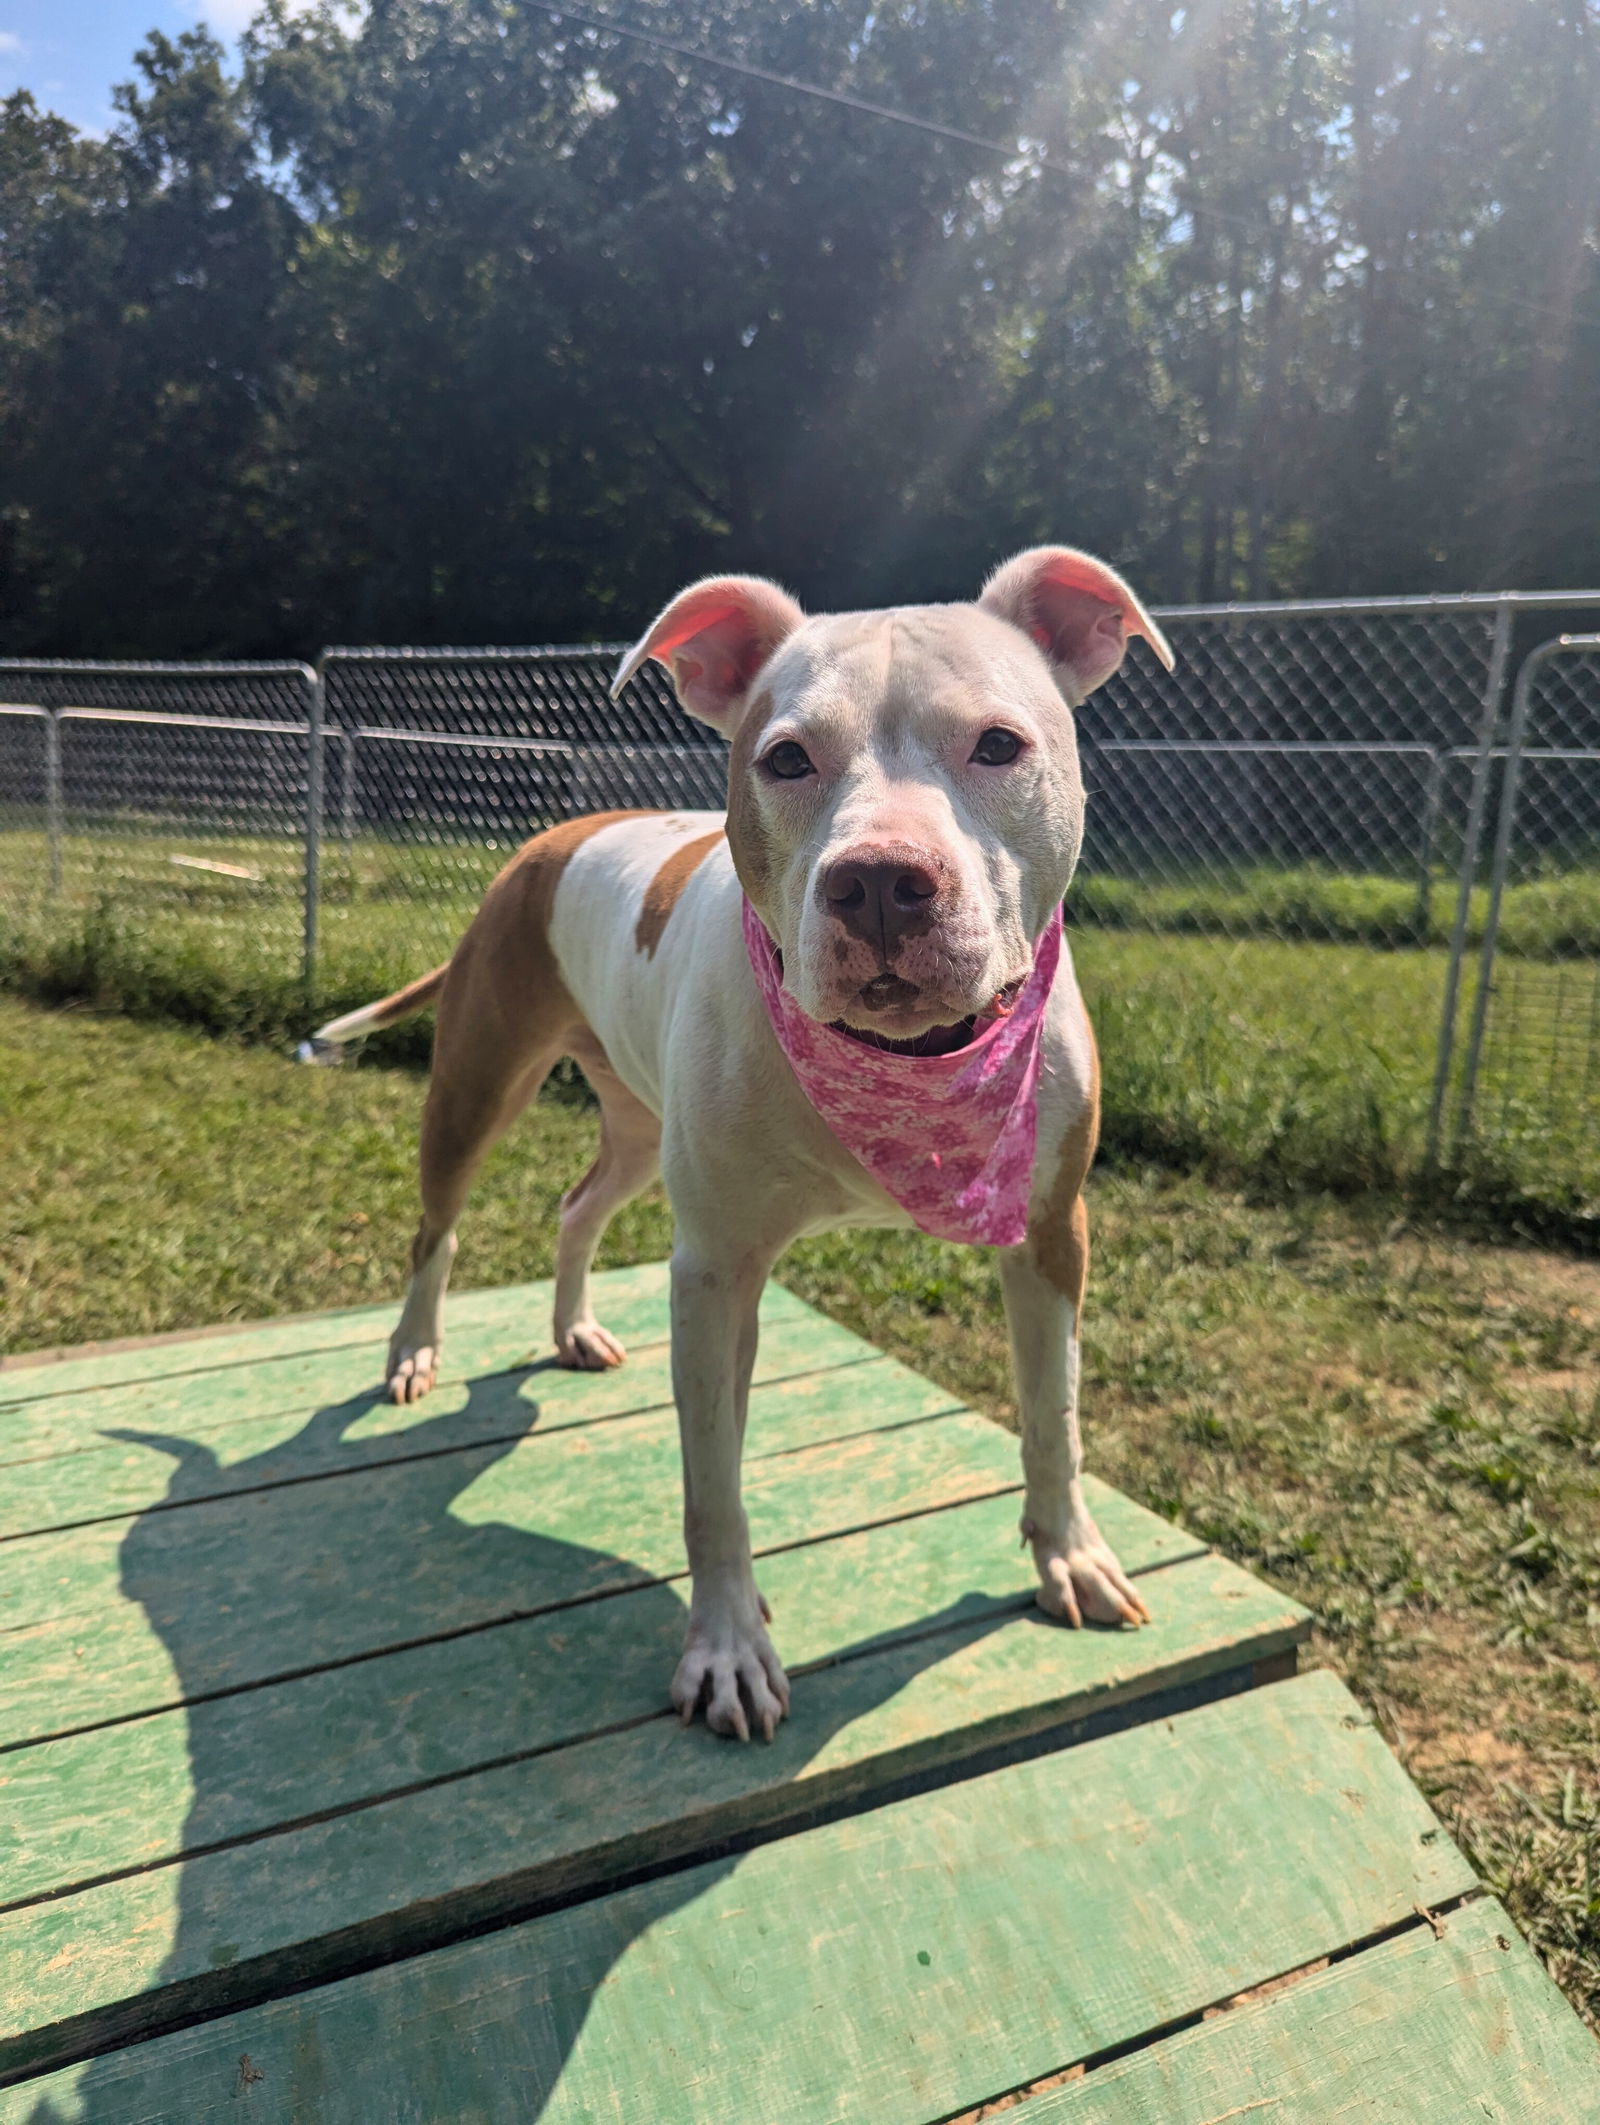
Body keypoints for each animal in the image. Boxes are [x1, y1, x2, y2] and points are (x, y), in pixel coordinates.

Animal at [318, 548, 1172, 1742]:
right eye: (786, 758)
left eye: (999, 744)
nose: (878, 880)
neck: (901, 1066)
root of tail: (553, 835)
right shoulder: (714, 1272)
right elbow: (712, 1482)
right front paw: (725, 1648)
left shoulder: (1049, 1228)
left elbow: (1053, 1410)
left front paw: (1071, 1558)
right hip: (476, 1084)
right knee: (434, 1231)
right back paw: (411, 1354)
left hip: (636, 1126)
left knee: (578, 1205)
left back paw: (572, 1327)